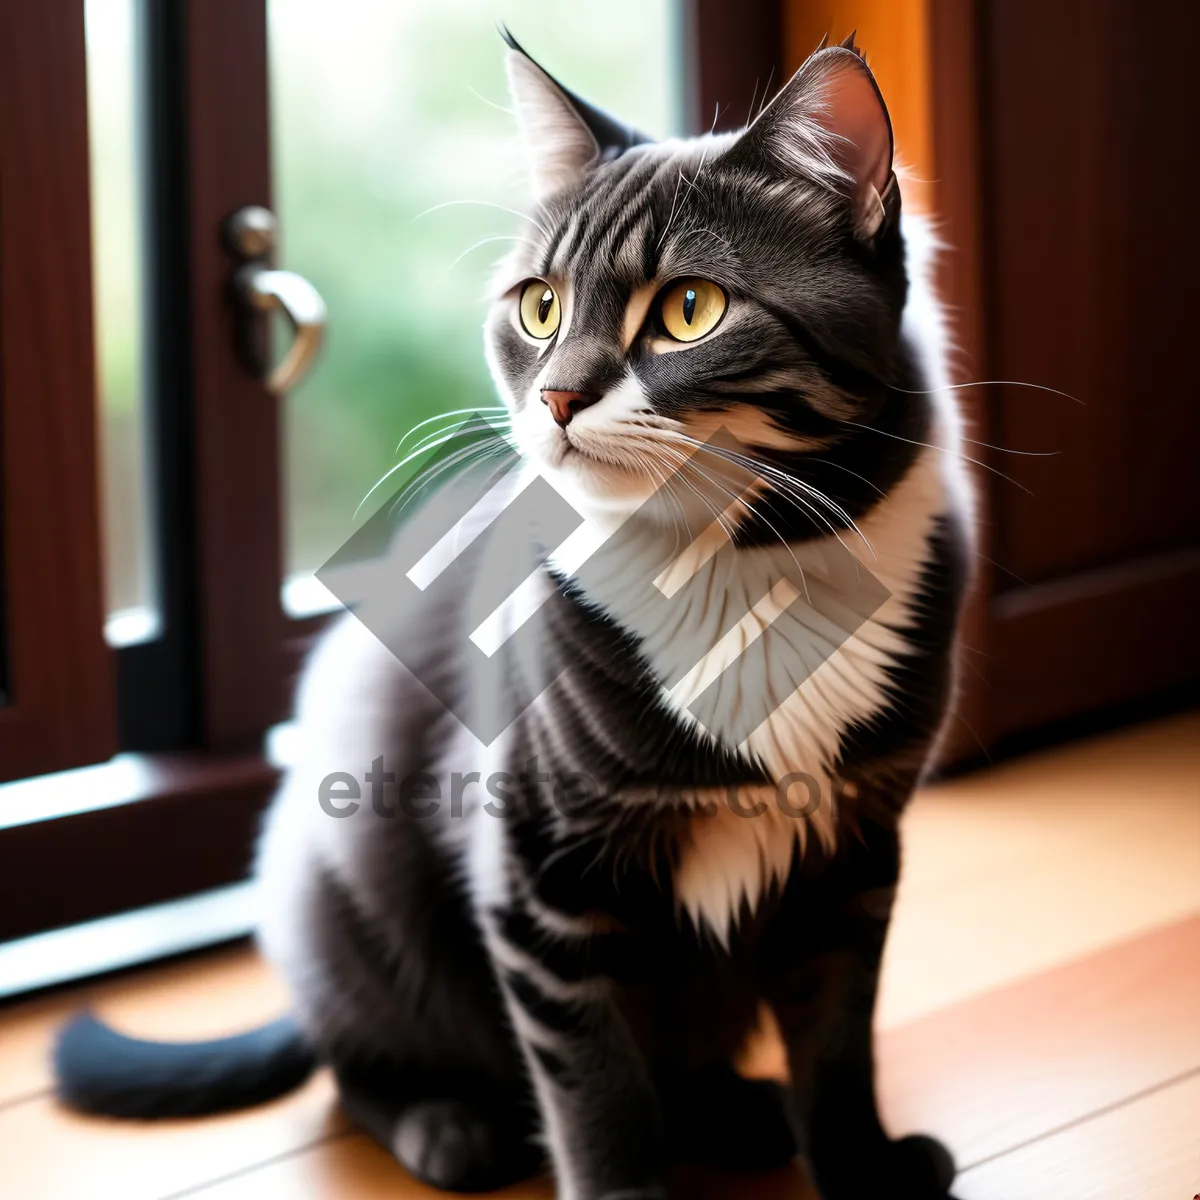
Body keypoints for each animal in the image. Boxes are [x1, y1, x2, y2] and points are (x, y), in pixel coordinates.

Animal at [54, 30, 974, 1200]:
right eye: (539, 307)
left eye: (691, 309)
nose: (559, 396)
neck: (737, 567)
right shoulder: (536, 874)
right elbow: (597, 1084)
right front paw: (621, 1184)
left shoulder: (855, 858)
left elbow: (837, 1038)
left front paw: (862, 1165)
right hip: (341, 898)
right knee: (357, 1062)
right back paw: (445, 1125)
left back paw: (738, 1111)